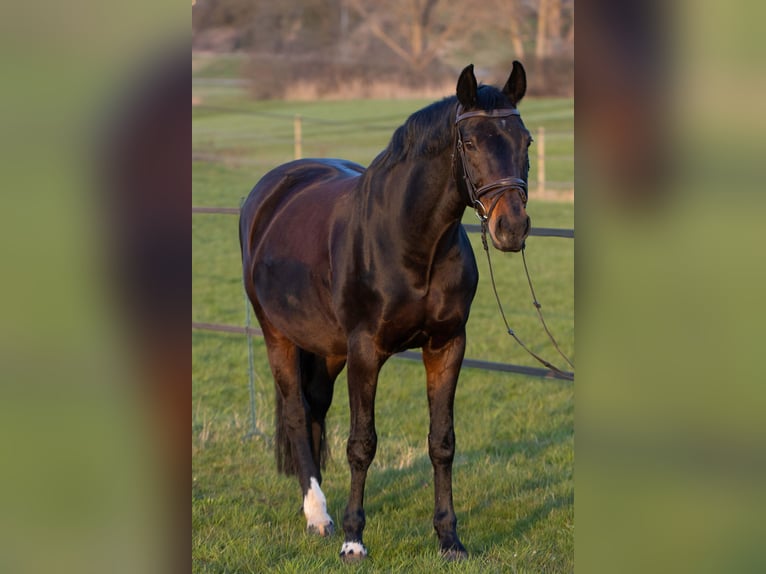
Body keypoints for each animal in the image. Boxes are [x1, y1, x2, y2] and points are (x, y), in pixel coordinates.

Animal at [239, 62, 532, 562]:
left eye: (525, 141)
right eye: (471, 143)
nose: (511, 227)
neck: (410, 242)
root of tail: (270, 189)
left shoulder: (447, 346)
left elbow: (442, 442)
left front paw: (449, 538)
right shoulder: (365, 351)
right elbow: (362, 444)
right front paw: (353, 540)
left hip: (327, 350)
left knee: (315, 410)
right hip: (277, 334)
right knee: (297, 413)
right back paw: (318, 516)